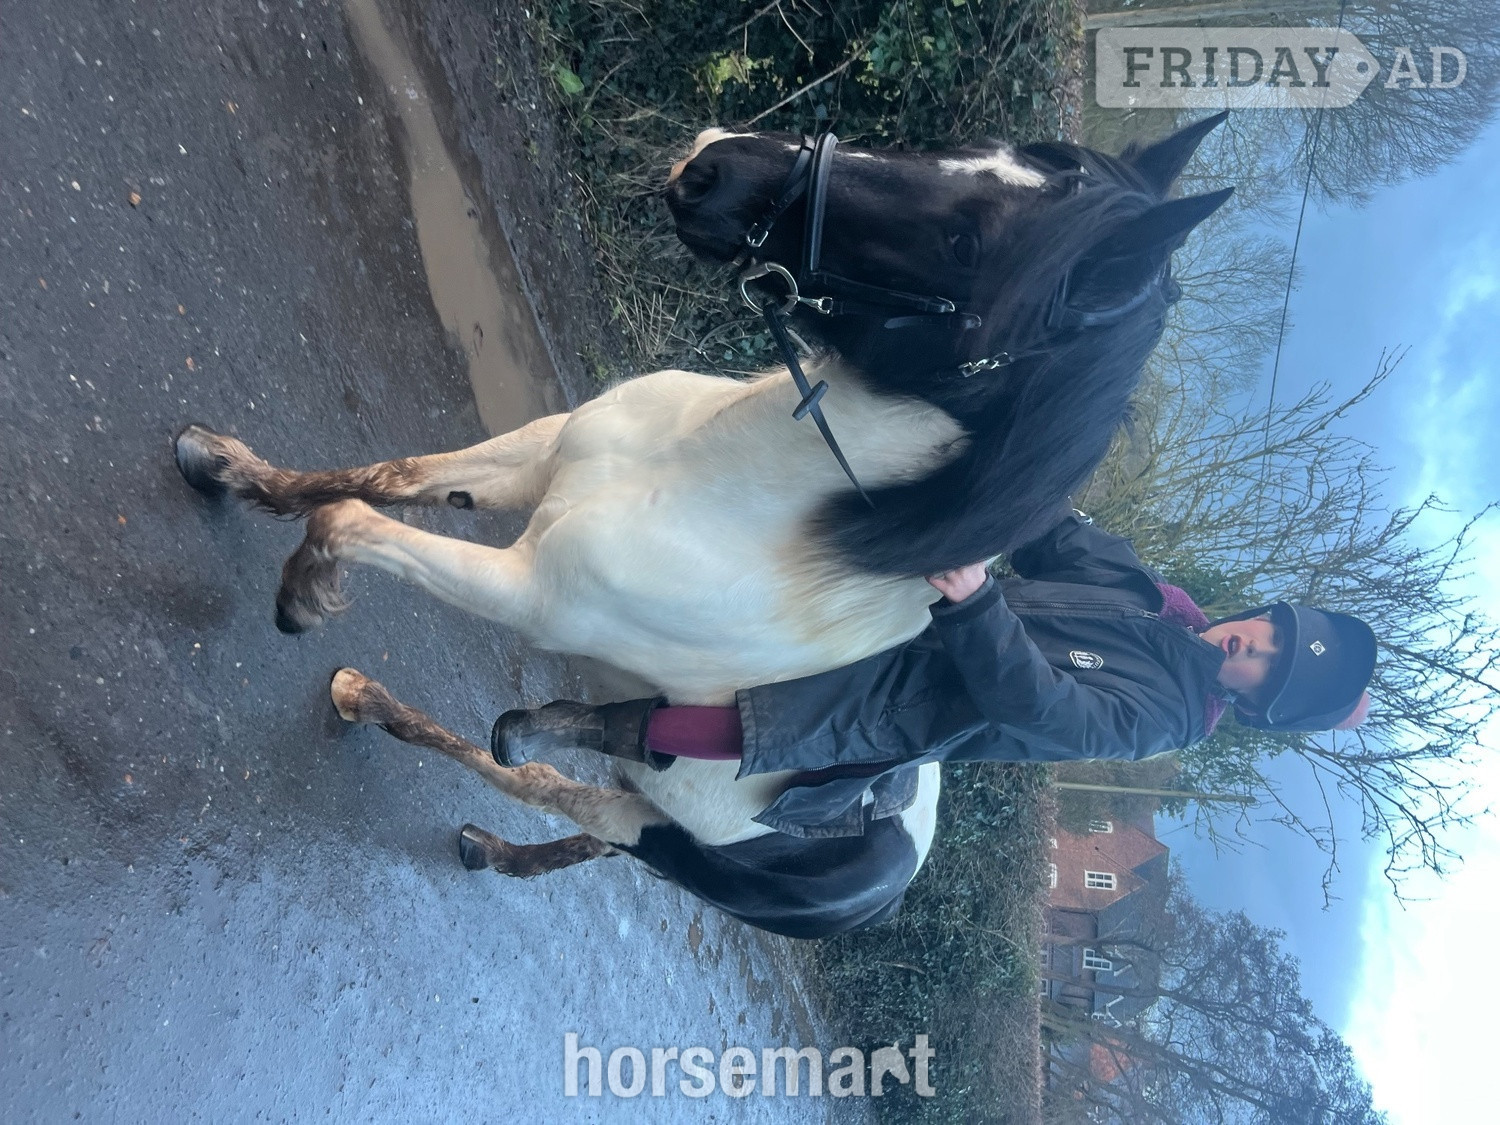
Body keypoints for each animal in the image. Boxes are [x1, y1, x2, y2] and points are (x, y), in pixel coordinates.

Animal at [174, 113, 1232, 938]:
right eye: (973, 147)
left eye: (971, 243)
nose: (716, 164)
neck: (709, 477)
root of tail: (887, 889)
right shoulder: (536, 461)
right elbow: (380, 477)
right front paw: (224, 466)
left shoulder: (528, 590)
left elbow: (352, 519)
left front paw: (303, 593)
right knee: (569, 811)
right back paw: (493, 832)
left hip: (664, 834)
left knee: (548, 788)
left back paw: (375, 709)